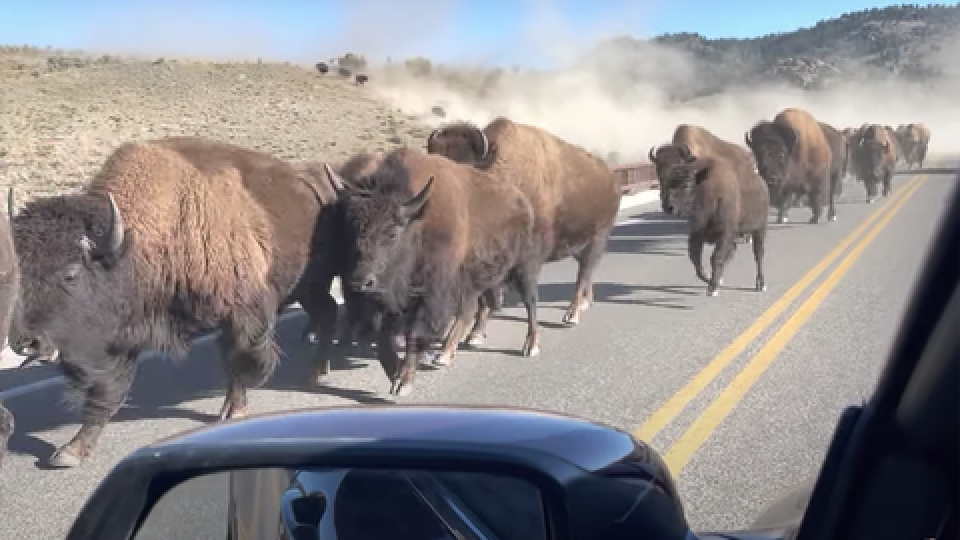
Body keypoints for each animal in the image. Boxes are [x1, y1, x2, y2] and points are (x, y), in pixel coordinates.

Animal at [7, 136, 344, 468]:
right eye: (19, 273)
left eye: (71, 273)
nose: (26, 342)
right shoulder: (124, 336)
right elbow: (107, 392)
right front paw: (73, 450)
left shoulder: (242, 316)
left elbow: (239, 360)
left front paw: (234, 410)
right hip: (308, 290)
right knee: (326, 313)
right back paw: (316, 369)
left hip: (312, 284)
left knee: (326, 314)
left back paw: (314, 370)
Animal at [664, 154, 768, 298]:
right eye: (665, 183)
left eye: (687, 185)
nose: (668, 207)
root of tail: (762, 184)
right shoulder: (697, 234)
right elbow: (695, 259)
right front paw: (711, 279)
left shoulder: (724, 234)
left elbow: (715, 258)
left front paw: (712, 288)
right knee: (732, 252)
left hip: (759, 230)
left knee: (758, 255)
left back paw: (761, 284)